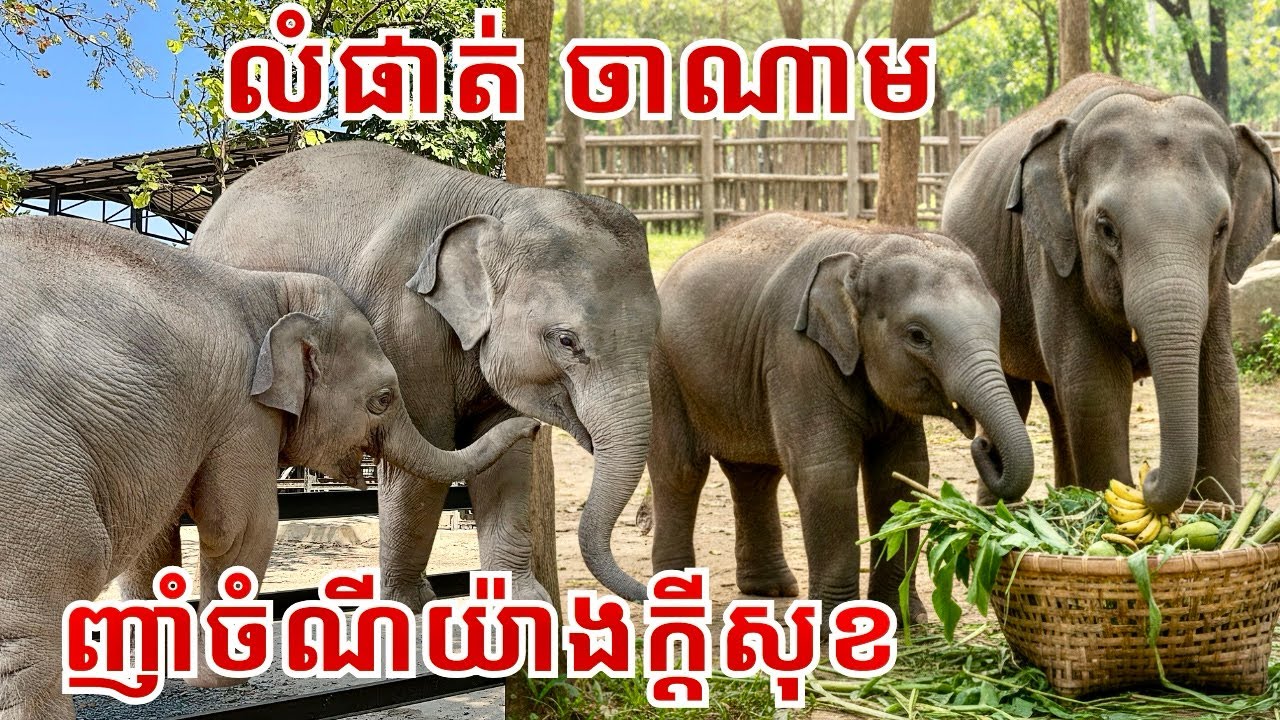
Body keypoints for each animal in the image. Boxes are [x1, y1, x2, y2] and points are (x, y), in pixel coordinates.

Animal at [0, 217, 538, 719]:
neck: (268, 287)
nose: (533, 425)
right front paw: (214, 679)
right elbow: (242, 525)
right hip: (32, 486)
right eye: (383, 399)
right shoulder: (243, 411)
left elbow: (157, 532)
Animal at [178, 140, 660, 604]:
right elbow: (425, 458)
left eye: (654, 338)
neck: (499, 201)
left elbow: (507, 463)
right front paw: (409, 602)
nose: (646, 591)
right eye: (566, 341)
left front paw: (523, 598)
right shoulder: (403, 326)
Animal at [647, 212, 1034, 622]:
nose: (984, 443)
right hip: (663, 369)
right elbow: (826, 471)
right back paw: (676, 600)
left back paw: (771, 590)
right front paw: (837, 625)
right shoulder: (795, 353)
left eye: (997, 321)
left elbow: (903, 471)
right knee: (681, 471)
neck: (867, 247)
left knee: (755, 475)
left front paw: (905, 619)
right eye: (917, 335)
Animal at [942, 74, 1280, 513]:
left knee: (1057, 399)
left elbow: (1220, 382)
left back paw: (1063, 493)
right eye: (1106, 228)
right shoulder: (1052, 254)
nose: (1149, 475)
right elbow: (1095, 385)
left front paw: (1225, 511)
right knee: (1022, 392)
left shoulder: (1218, 284)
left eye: (1222, 229)